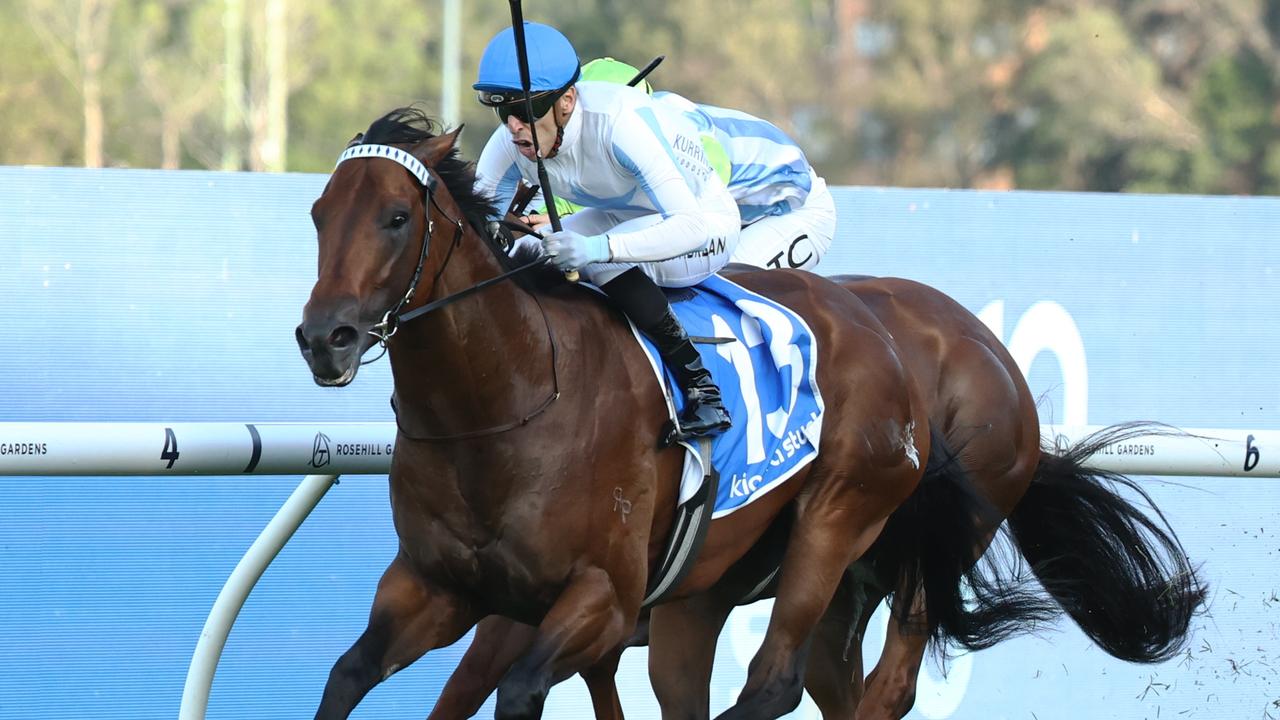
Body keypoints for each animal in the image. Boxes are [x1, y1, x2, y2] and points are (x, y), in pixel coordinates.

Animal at [296, 107, 942, 717]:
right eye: (319, 214)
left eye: (397, 218)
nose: (325, 337)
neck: (499, 408)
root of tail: (875, 329)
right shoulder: (434, 587)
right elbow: (346, 676)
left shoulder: (604, 597)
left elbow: (520, 690)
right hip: (717, 578)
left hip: (834, 520)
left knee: (780, 681)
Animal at [424, 275, 1203, 717]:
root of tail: (997, 360)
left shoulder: (578, 591)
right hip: (840, 586)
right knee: (838, 681)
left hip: (911, 548)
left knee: (889, 685)